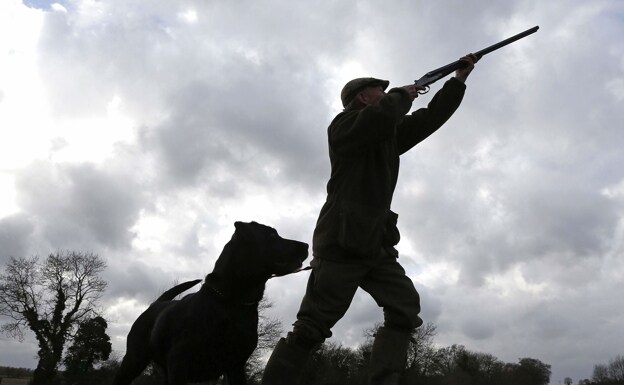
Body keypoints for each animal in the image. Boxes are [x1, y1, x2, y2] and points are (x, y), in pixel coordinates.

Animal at [112, 220, 310, 384]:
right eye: (271, 235)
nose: (306, 245)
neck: (232, 302)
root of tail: (156, 303)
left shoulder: (236, 365)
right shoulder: (179, 360)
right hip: (134, 359)